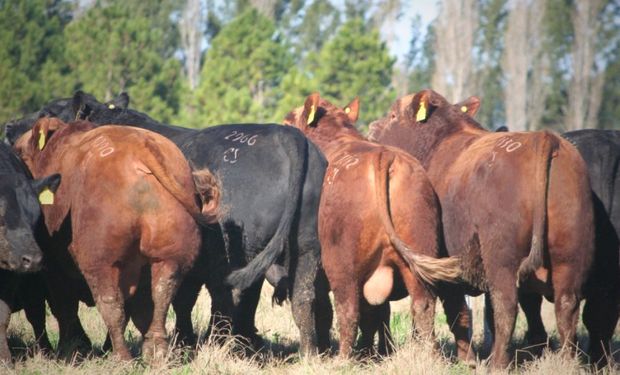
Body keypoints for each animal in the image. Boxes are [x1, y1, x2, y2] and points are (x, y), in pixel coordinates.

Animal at [6, 92, 334, 356]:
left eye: (47, 111)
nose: (9, 126)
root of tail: (285, 135)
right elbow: (180, 301)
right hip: (306, 247)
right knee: (302, 297)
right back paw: (306, 353)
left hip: (242, 252)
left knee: (235, 297)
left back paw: (229, 346)